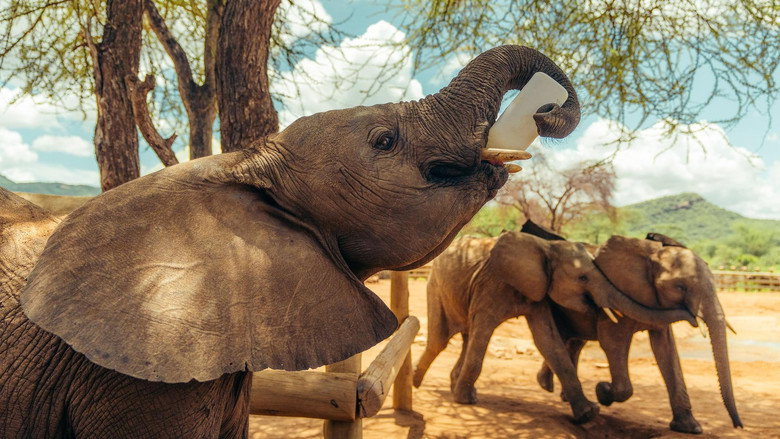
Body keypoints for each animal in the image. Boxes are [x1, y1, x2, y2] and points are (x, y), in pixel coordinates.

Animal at [411, 231, 695, 423]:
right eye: (583, 277)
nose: (693, 316)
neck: (547, 247)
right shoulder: (493, 283)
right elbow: (485, 331)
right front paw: (465, 401)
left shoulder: (538, 290)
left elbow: (547, 339)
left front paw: (588, 413)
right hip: (434, 286)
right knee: (440, 340)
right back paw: (417, 382)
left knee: (466, 336)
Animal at [534, 234, 743, 434]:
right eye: (680, 287)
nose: (738, 426)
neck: (652, 255)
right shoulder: (618, 294)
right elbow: (613, 342)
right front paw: (602, 391)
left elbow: (666, 348)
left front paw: (690, 428)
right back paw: (553, 388)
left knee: (573, 340)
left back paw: (554, 390)